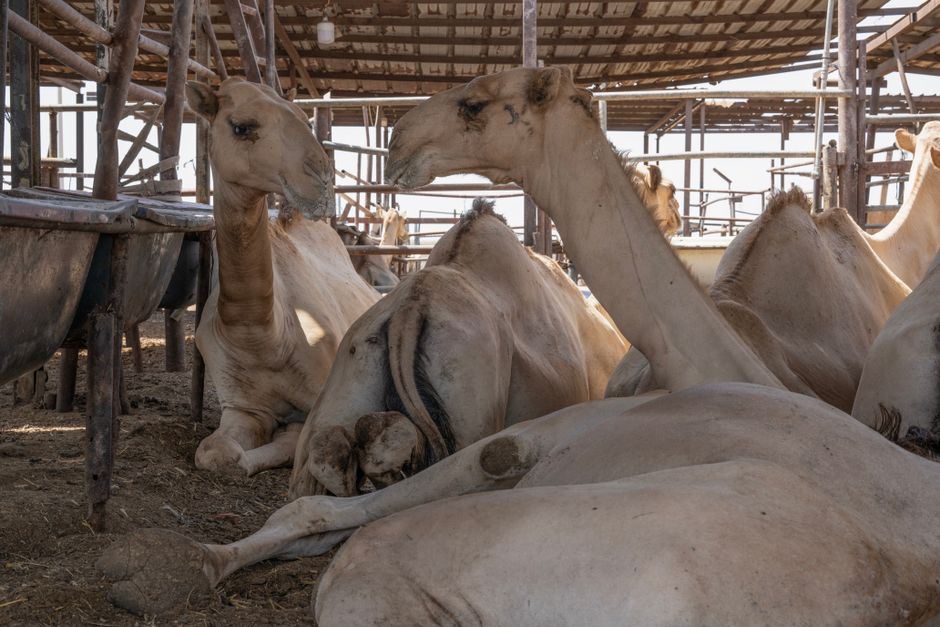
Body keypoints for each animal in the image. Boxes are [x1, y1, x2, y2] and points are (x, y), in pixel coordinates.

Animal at [184, 78, 378, 476]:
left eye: (303, 117)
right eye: (241, 126)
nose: (322, 177)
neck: (265, 337)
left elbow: (300, 437)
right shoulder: (243, 406)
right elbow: (213, 450)